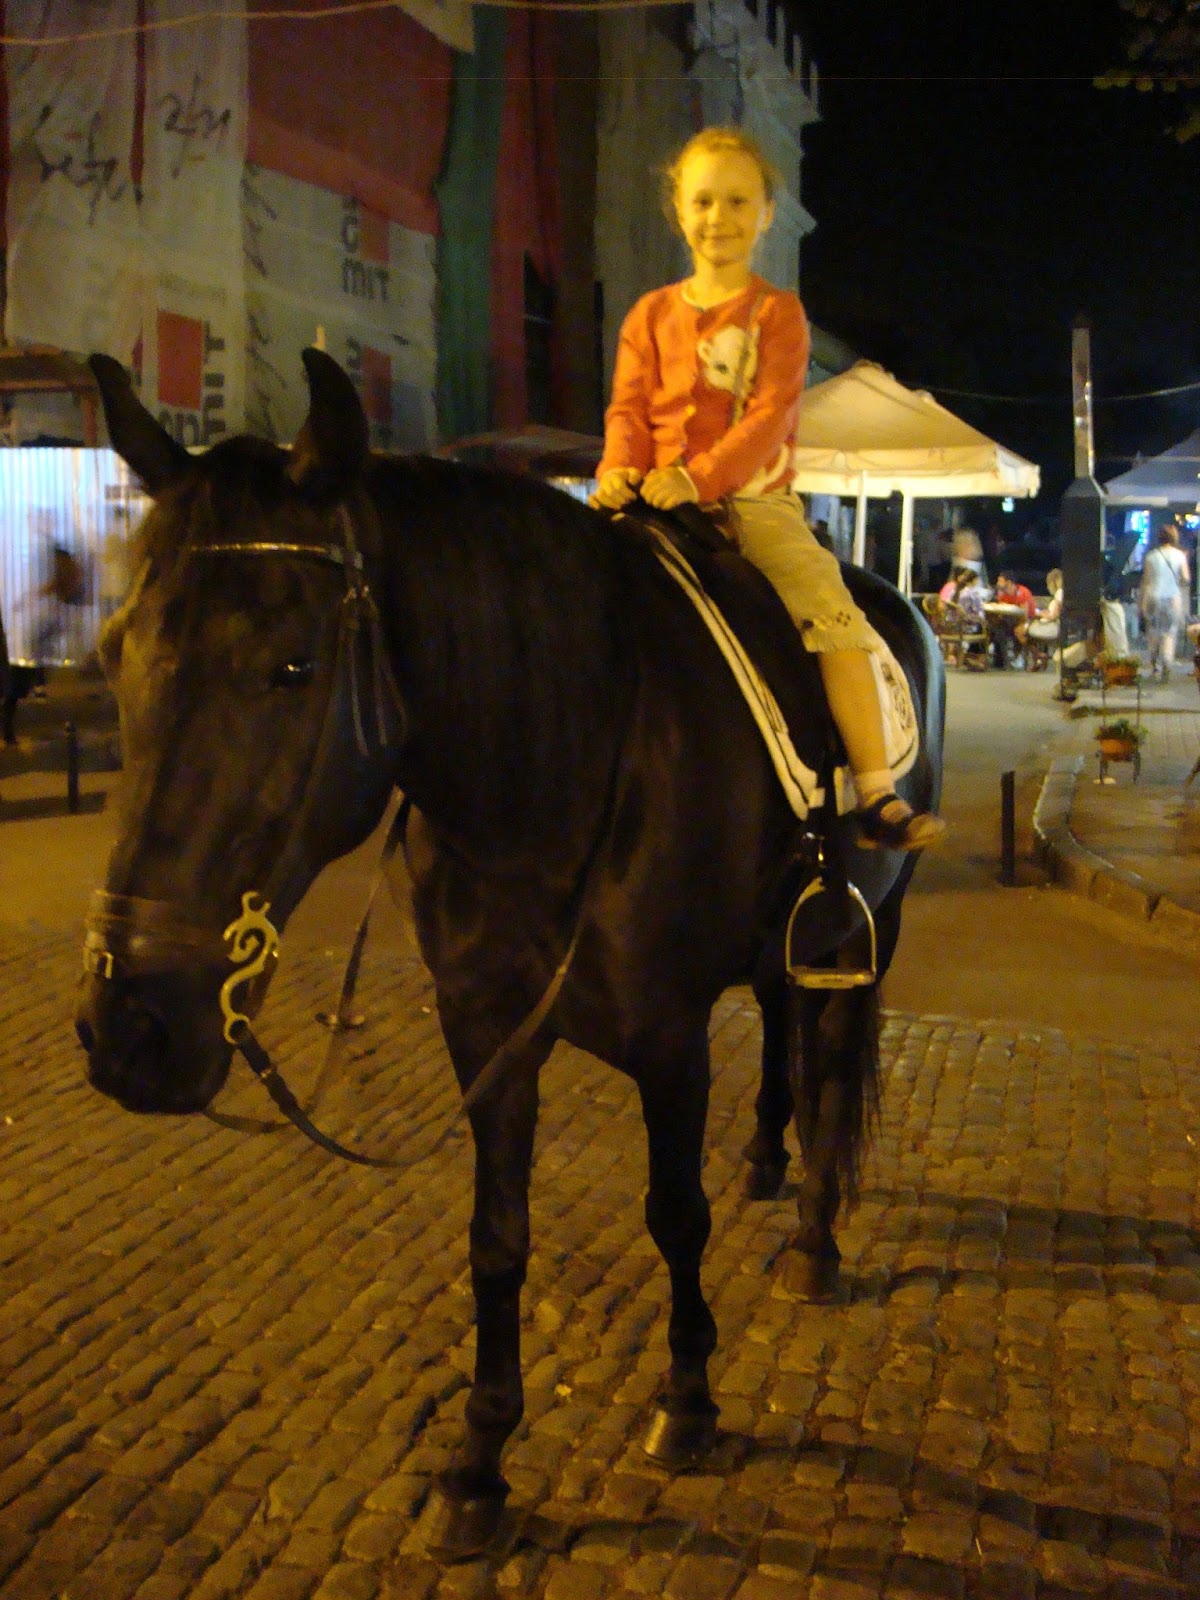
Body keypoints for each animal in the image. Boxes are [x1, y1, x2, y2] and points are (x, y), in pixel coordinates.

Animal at [76, 348, 943, 1559]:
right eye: (115, 653)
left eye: (293, 667)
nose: (131, 1030)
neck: (566, 759)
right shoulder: (486, 1033)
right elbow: (496, 1239)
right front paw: (480, 1461)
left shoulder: (671, 1041)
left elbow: (675, 1214)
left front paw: (689, 1400)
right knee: (782, 1022)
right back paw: (768, 1161)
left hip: (875, 927)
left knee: (827, 1066)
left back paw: (815, 1241)